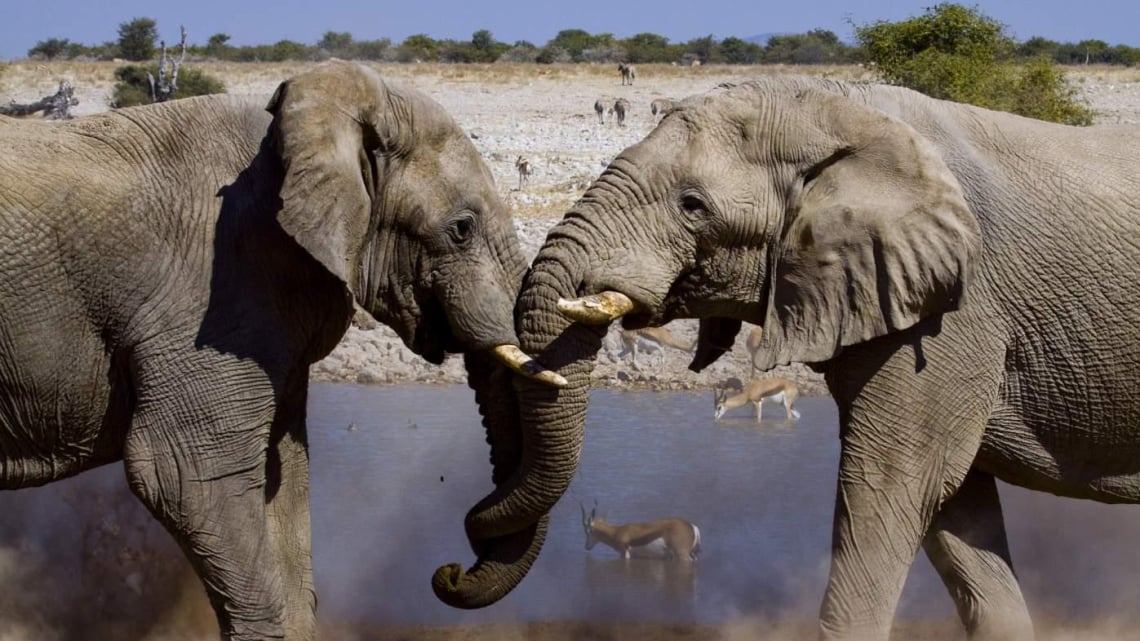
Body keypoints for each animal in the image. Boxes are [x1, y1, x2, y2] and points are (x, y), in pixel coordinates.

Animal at [469, 77, 1140, 634]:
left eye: (693, 205)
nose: (458, 567)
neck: (840, 109)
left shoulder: (952, 315)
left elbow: (890, 488)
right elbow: (956, 516)